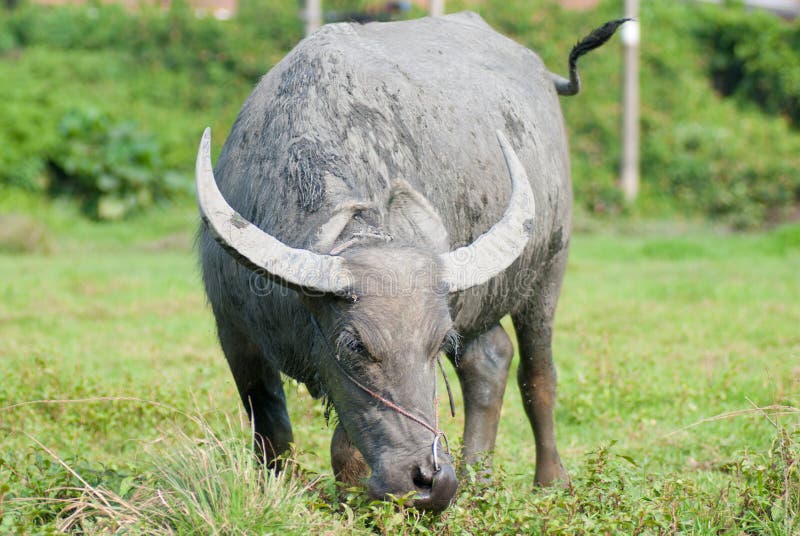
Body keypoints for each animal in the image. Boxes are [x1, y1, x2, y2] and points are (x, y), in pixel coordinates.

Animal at [198, 12, 624, 510]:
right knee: (490, 360)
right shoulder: (235, 332)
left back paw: (550, 481)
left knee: (538, 373)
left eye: (437, 344)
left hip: (550, 268)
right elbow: (270, 429)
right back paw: (478, 479)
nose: (431, 480)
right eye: (354, 346)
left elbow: (346, 447)